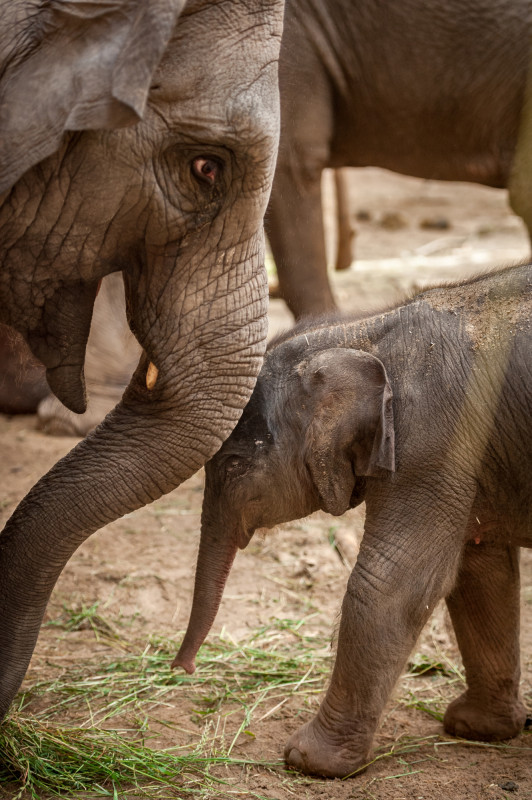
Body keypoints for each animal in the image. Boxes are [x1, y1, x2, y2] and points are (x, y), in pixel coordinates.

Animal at [174, 262, 532, 778]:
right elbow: (481, 573)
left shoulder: (432, 442)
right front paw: (476, 728)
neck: (367, 333)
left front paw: (307, 760)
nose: (182, 668)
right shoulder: (466, 457)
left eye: (234, 465)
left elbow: (390, 583)